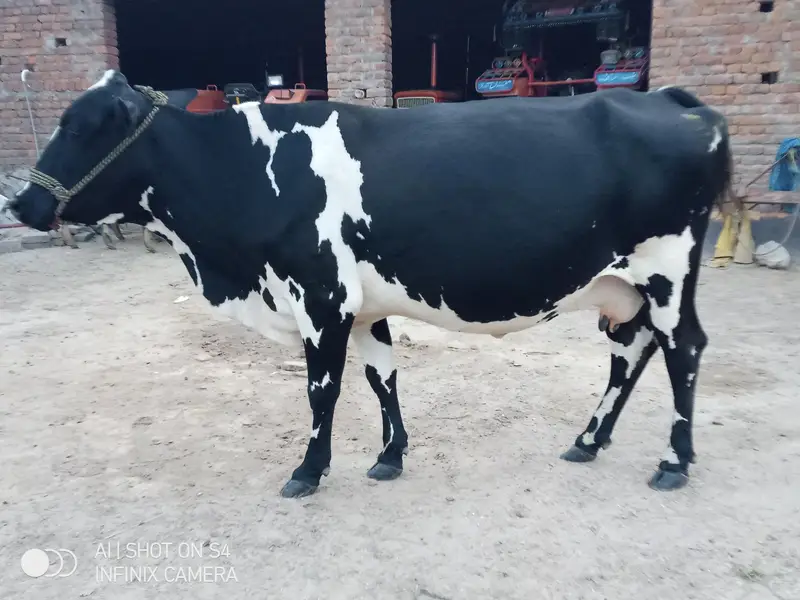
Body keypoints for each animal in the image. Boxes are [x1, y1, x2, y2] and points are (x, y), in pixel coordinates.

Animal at [6, 70, 734, 499]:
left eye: (80, 126)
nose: (21, 203)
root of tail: (665, 97)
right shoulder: (360, 302)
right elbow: (381, 375)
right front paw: (390, 455)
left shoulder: (319, 296)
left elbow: (322, 389)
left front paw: (307, 470)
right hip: (625, 286)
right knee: (630, 352)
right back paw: (587, 442)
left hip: (668, 271)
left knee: (684, 351)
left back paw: (674, 463)